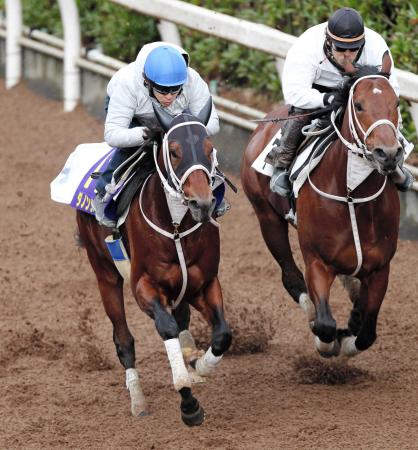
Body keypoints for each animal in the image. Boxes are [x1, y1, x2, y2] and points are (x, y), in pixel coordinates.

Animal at [76, 100, 232, 428]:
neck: (175, 227)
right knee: (123, 339)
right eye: (173, 151)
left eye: (210, 148)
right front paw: (188, 402)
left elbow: (222, 334)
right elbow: (166, 327)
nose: (202, 203)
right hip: (105, 274)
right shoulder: (144, 286)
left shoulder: (204, 283)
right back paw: (138, 400)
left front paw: (200, 366)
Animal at [242, 64, 402, 358]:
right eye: (358, 105)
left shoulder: (380, 268)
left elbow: (367, 333)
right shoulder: (316, 261)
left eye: (396, 103)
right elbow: (326, 325)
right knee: (290, 275)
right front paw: (329, 339)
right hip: (267, 218)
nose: (387, 153)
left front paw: (351, 331)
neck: (352, 196)